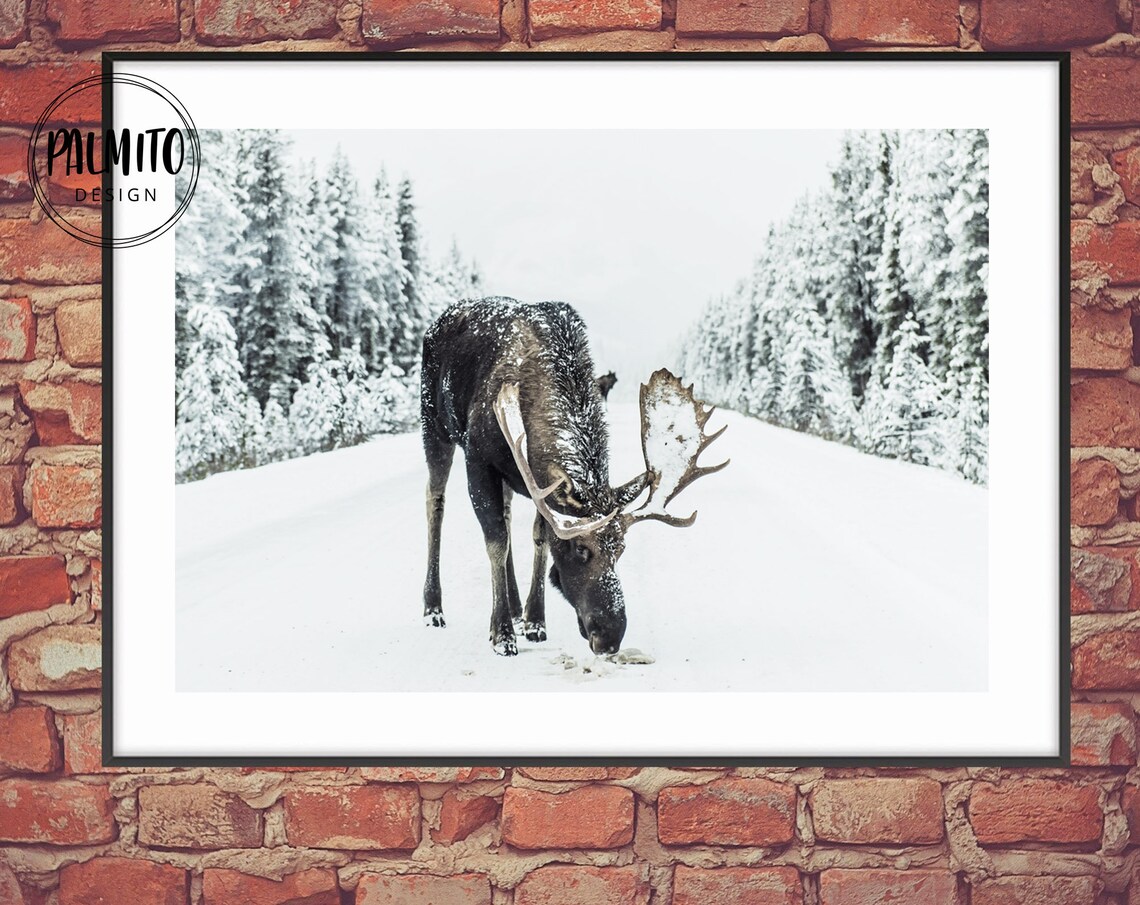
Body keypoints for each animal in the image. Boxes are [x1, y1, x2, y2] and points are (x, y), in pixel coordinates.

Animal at [420, 297, 727, 657]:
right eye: (581, 549)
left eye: (621, 549)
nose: (609, 637)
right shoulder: (479, 459)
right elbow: (496, 541)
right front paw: (502, 634)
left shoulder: (537, 482)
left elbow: (538, 539)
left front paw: (535, 621)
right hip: (434, 426)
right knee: (435, 502)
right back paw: (433, 608)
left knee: (507, 514)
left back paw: (515, 605)